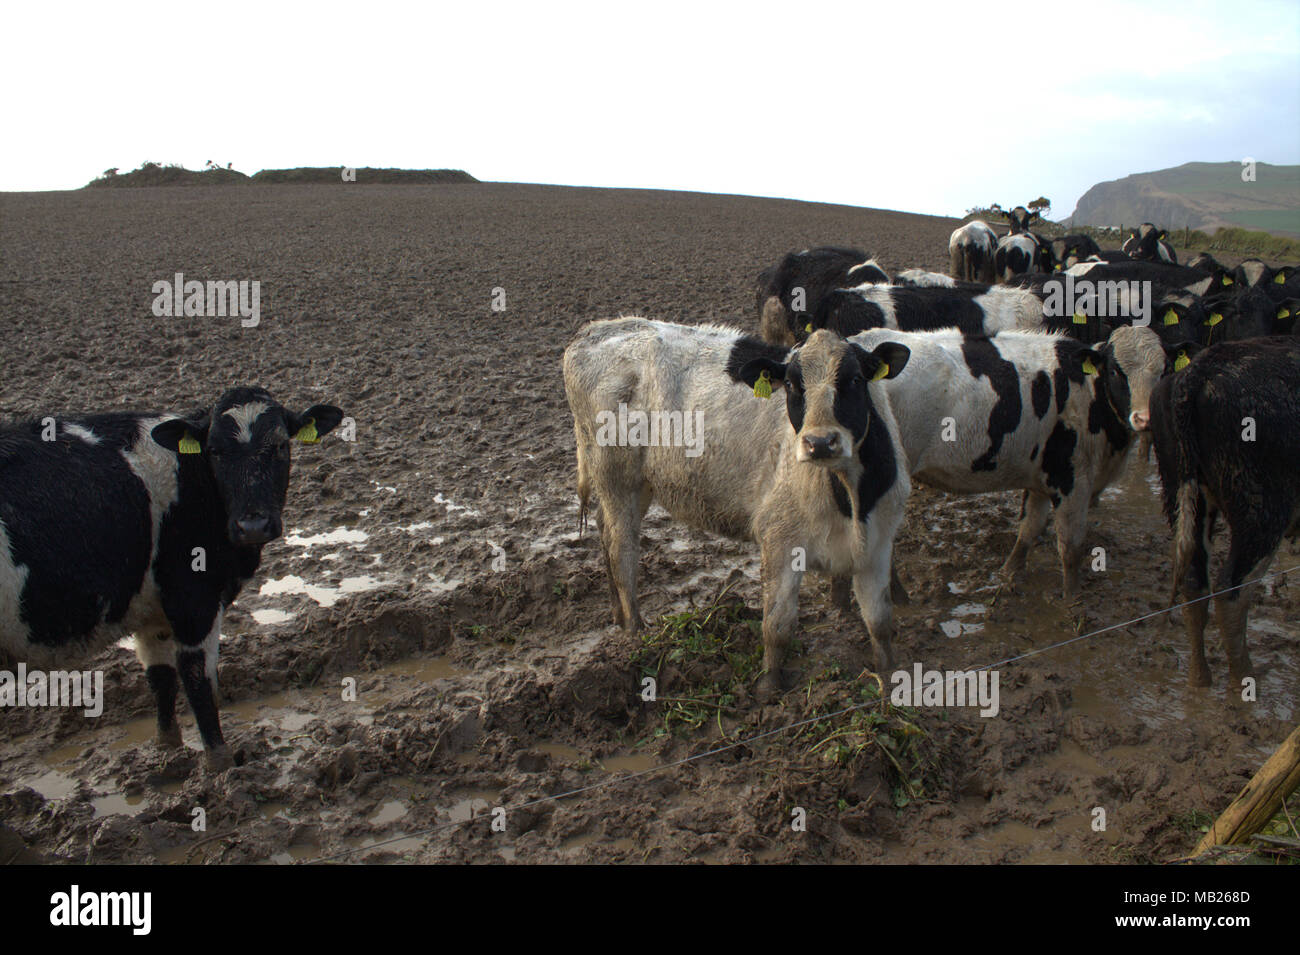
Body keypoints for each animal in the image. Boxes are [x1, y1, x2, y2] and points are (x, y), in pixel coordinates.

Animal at [0, 389, 345, 769]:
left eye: (281, 445)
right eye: (214, 450)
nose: (253, 525)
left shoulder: (154, 613)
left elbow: (160, 677)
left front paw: (167, 750)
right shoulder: (194, 600)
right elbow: (197, 678)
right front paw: (220, 761)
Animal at [847, 324, 1185, 600]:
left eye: (1164, 369)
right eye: (1117, 371)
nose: (1145, 418)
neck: (1090, 394)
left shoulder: (1042, 478)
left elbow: (1030, 528)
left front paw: (1010, 572)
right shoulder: (1072, 479)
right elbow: (1071, 546)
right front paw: (1073, 598)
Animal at [1149, 335, 1300, 686]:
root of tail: (1199, 371)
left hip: (1182, 492)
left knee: (1195, 584)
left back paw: (1200, 678)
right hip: (1261, 512)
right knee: (1231, 592)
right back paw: (1244, 679)